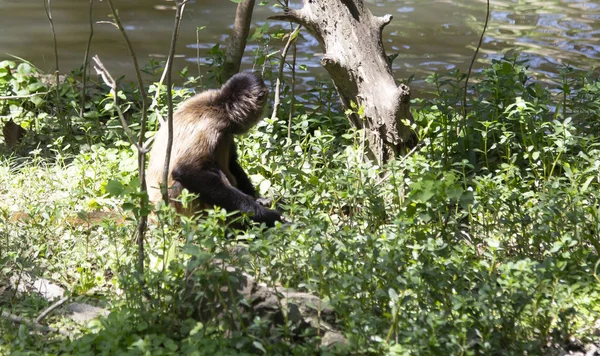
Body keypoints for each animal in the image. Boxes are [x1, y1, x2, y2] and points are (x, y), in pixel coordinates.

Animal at [147, 72, 284, 227]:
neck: (219, 105)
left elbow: (232, 161)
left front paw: (258, 199)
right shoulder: (214, 123)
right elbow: (185, 171)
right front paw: (266, 215)